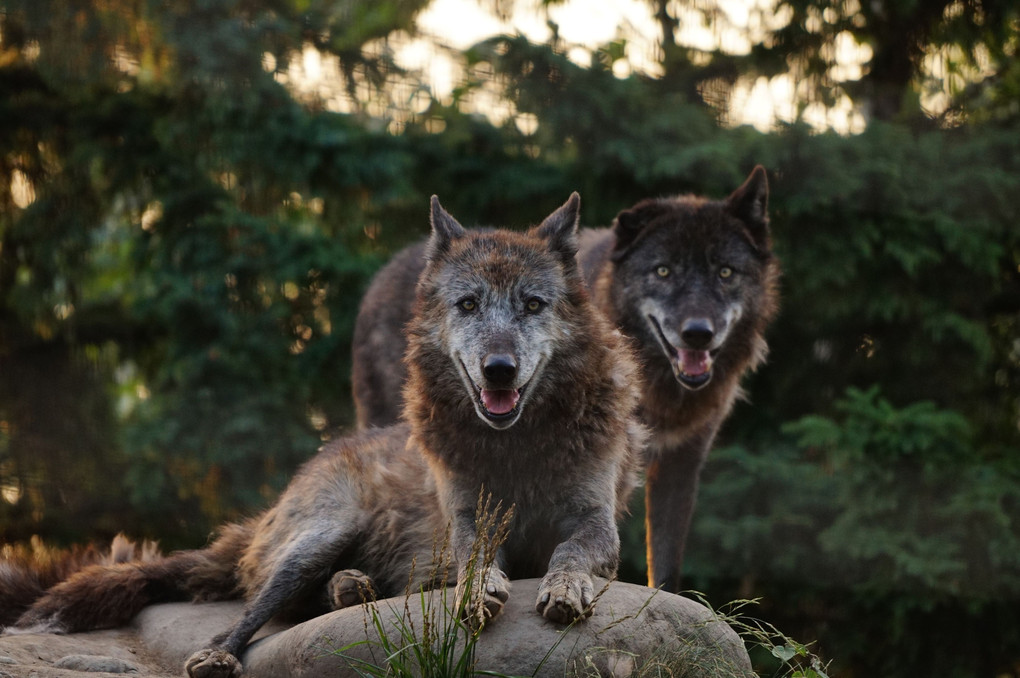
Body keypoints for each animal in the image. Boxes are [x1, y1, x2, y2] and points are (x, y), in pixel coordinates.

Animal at [7, 192, 640, 676]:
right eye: (468, 304)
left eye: (533, 305)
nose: (500, 369)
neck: (518, 447)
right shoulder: (467, 520)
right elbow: (475, 557)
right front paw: (477, 587)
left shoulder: (596, 524)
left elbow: (570, 553)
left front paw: (564, 588)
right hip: (322, 535)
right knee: (257, 609)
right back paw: (231, 649)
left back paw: (353, 589)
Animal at [352, 168, 779, 591]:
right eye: (663, 271)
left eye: (725, 272)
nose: (698, 333)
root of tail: (381, 275)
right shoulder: (471, 510)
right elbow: (475, 555)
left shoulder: (673, 464)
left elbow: (650, 556)